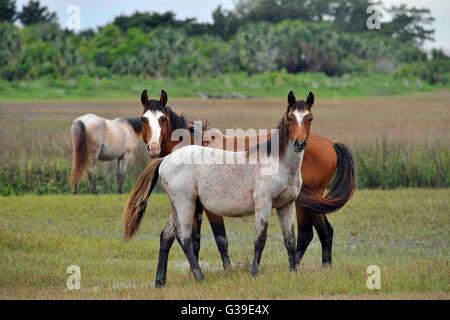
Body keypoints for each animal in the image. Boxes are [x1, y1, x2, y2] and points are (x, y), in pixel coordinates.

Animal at [123, 89, 356, 270]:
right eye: (144, 119)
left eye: (162, 119)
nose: (153, 148)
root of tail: (330, 143)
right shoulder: (197, 205)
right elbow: (195, 240)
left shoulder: (209, 208)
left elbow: (220, 239)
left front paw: (227, 270)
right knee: (325, 232)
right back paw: (325, 267)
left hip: (304, 203)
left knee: (307, 235)